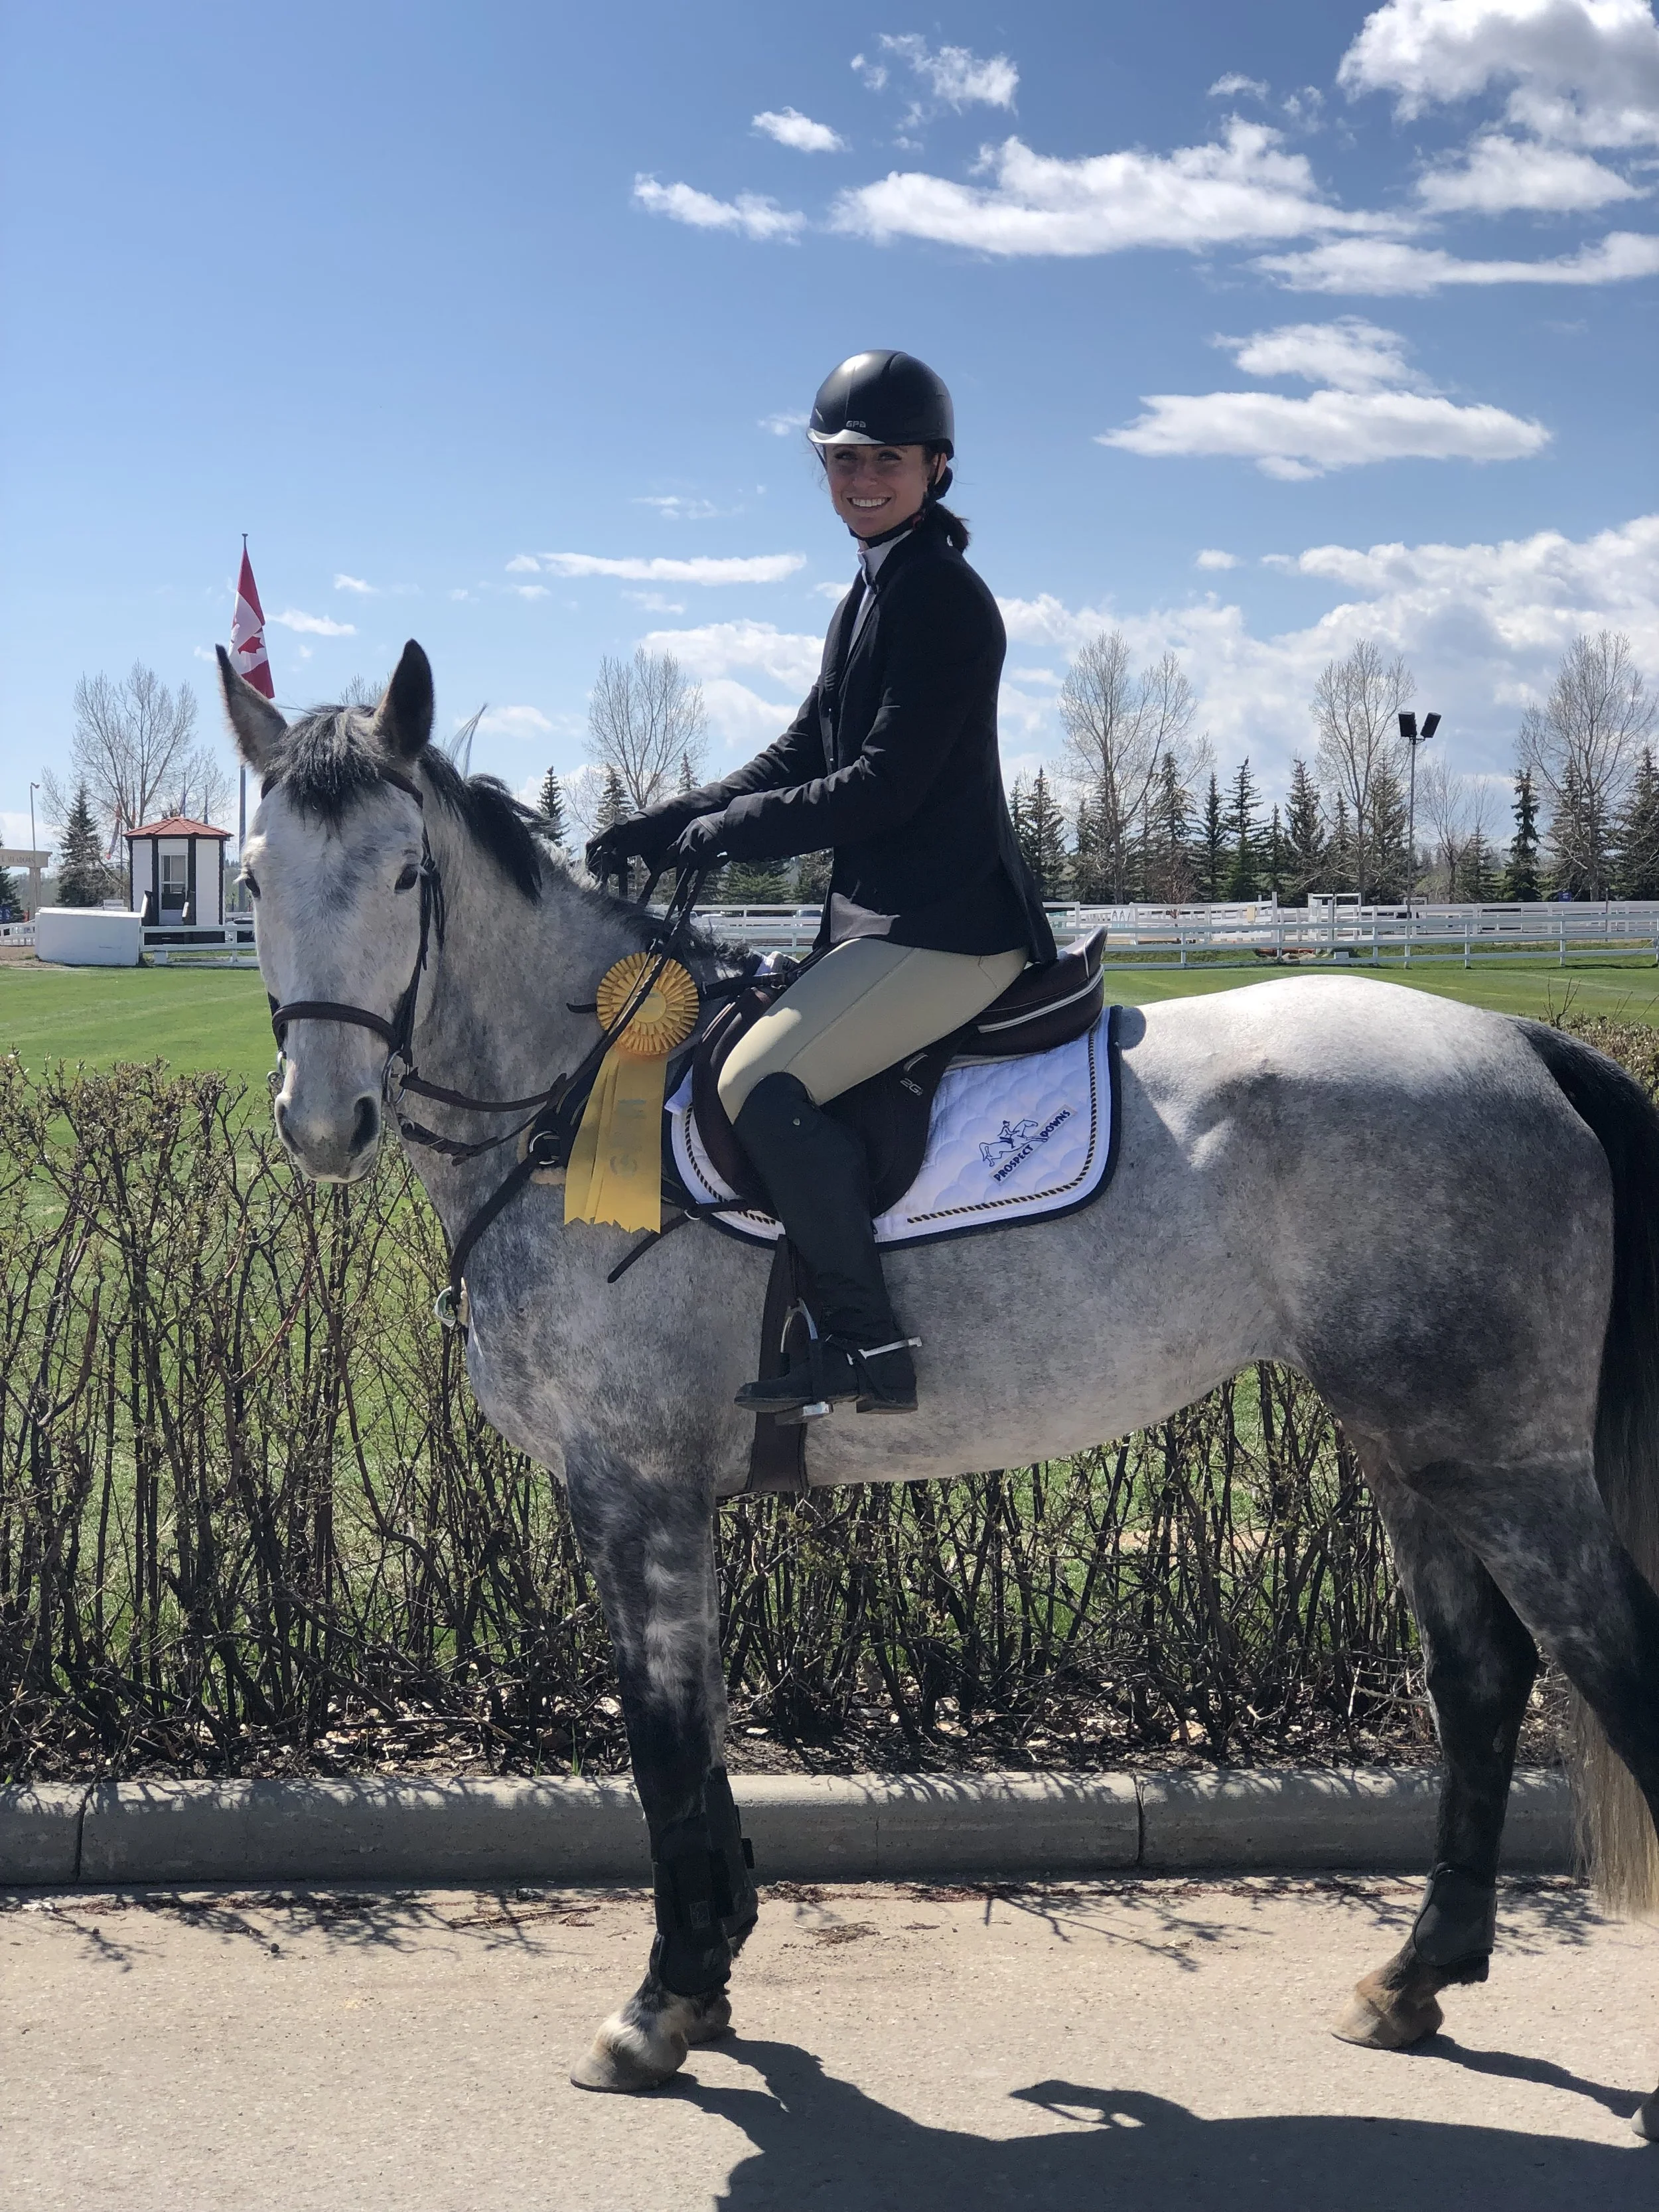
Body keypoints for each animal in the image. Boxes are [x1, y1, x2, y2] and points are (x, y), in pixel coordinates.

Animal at [219, 642, 1659, 2136]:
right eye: (254, 876)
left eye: (406, 874)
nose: (323, 1124)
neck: (578, 1092)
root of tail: (1519, 1042)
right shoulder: (668, 1501)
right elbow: (703, 1731)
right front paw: (713, 1970)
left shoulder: (634, 1491)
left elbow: (663, 1739)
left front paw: (659, 2005)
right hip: (1408, 1440)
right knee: (1479, 1678)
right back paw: (1410, 1980)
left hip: (1504, 1454)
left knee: (1613, 1664)